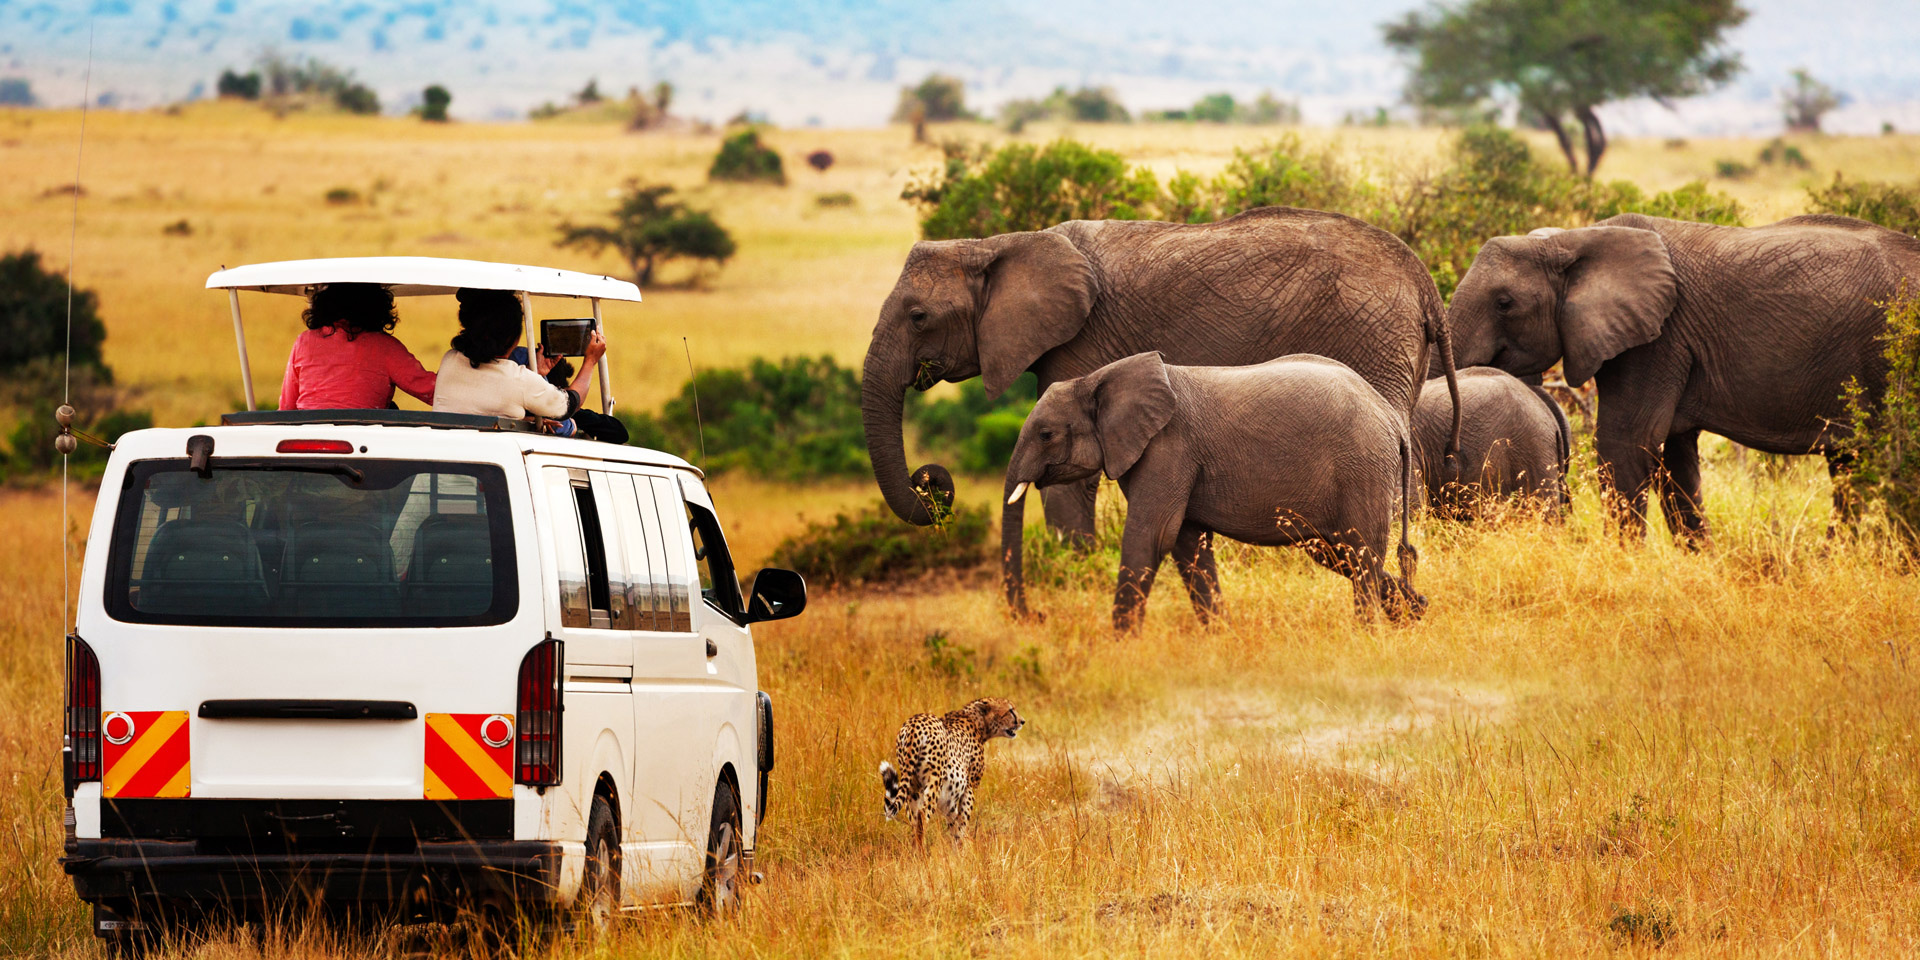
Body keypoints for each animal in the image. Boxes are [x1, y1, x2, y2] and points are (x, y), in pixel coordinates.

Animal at [1003, 352, 1424, 631]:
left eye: (1046, 435)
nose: (1036, 616)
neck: (1096, 378)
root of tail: (1392, 420)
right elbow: (1187, 545)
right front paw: (1219, 636)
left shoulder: (1168, 448)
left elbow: (1151, 537)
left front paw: (1120, 645)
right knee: (1338, 553)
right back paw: (1416, 613)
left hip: (1363, 467)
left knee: (1360, 551)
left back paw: (1369, 633)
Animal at [1446, 213, 1920, 542]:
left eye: (1504, 303)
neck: (1574, 239)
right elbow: (1675, 460)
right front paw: (1703, 565)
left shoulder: (1659, 339)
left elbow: (1625, 442)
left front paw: (1623, 566)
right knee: (1849, 468)